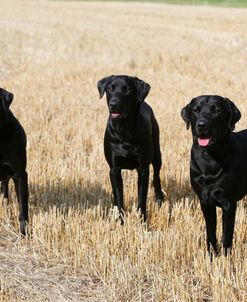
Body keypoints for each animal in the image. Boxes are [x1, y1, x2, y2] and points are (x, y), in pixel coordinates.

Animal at [97, 75, 165, 222]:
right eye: (110, 88)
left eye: (127, 89)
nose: (113, 104)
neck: (124, 130)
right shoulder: (114, 169)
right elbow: (119, 197)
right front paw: (120, 221)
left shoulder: (143, 169)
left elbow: (141, 200)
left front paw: (143, 223)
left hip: (157, 154)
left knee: (157, 176)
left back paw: (159, 198)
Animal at [180, 95, 246, 256]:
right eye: (196, 110)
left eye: (216, 111)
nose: (201, 125)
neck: (209, 159)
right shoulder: (205, 201)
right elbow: (210, 233)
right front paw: (211, 256)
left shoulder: (229, 203)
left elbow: (226, 235)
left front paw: (226, 259)